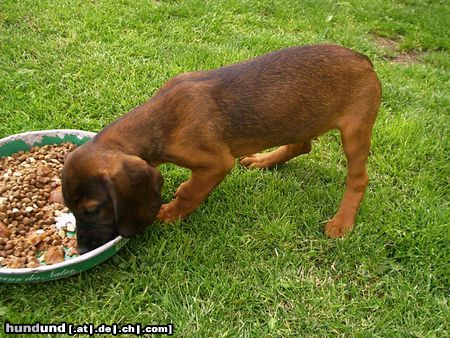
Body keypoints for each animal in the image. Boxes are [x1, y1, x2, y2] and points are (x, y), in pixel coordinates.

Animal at [61, 43, 382, 252]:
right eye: (68, 208)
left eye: (91, 210)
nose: (83, 249)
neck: (162, 120)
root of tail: (363, 59)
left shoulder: (215, 163)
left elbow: (191, 193)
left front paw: (169, 213)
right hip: (300, 119)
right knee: (302, 146)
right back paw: (264, 161)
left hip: (354, 131)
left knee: (358, 178)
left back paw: (342, 221)